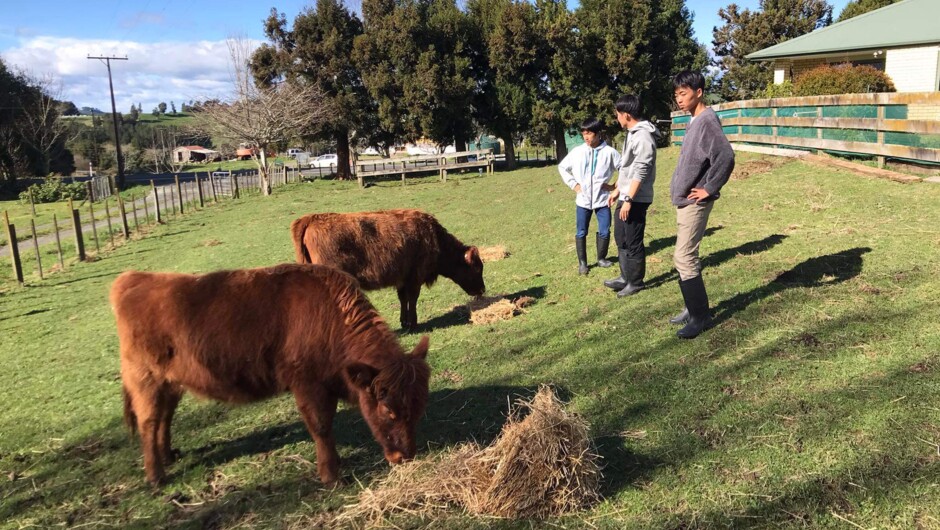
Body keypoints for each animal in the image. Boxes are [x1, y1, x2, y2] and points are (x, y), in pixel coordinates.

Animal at [110, 262, 430, 484]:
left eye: (418, 408)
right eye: (388, 410)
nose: (404, 457)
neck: (331, 320)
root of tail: (135, 279)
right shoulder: (308, 385)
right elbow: (321, 426)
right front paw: (330, 475)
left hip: (170, 382)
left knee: (165, 415)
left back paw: (168, 456)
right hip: (146, 380)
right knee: (149, 421)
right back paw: (156, 476)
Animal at [292, 208, 484, 328]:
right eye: (477, 268)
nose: (482, 289)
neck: (433, 236)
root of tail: (311, 219)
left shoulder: (402, 279)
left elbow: (403, 299)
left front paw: (404, 322)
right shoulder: (415, 277)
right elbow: (413, 298)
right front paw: (413, 323)